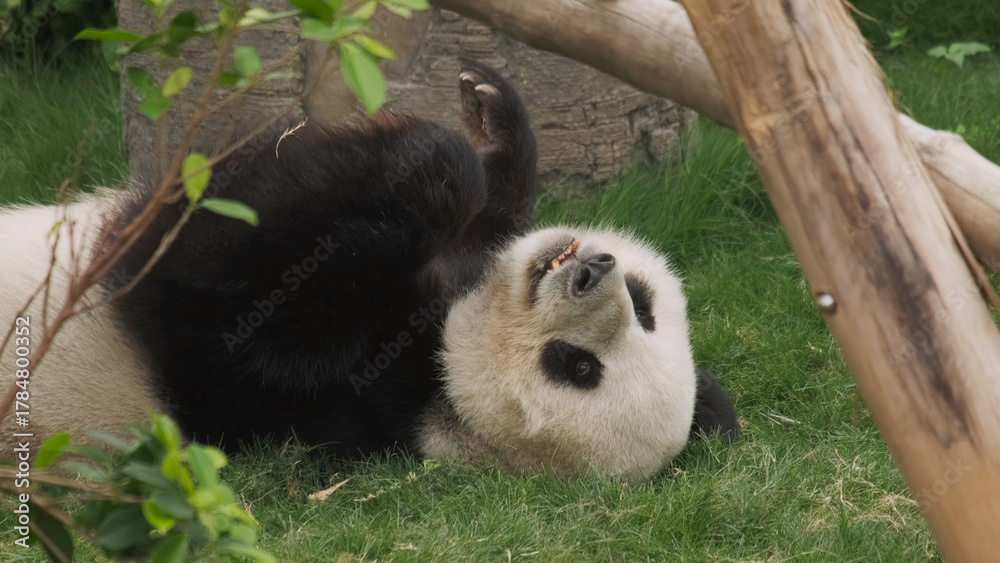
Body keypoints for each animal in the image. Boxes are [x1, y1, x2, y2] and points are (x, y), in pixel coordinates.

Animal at [0, 59, 736, 481]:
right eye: (644, 304)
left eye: (575, 367)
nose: (594, 272)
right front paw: (490, 119)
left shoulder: (302, 380)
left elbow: (218, 274)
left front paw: (428, 162)